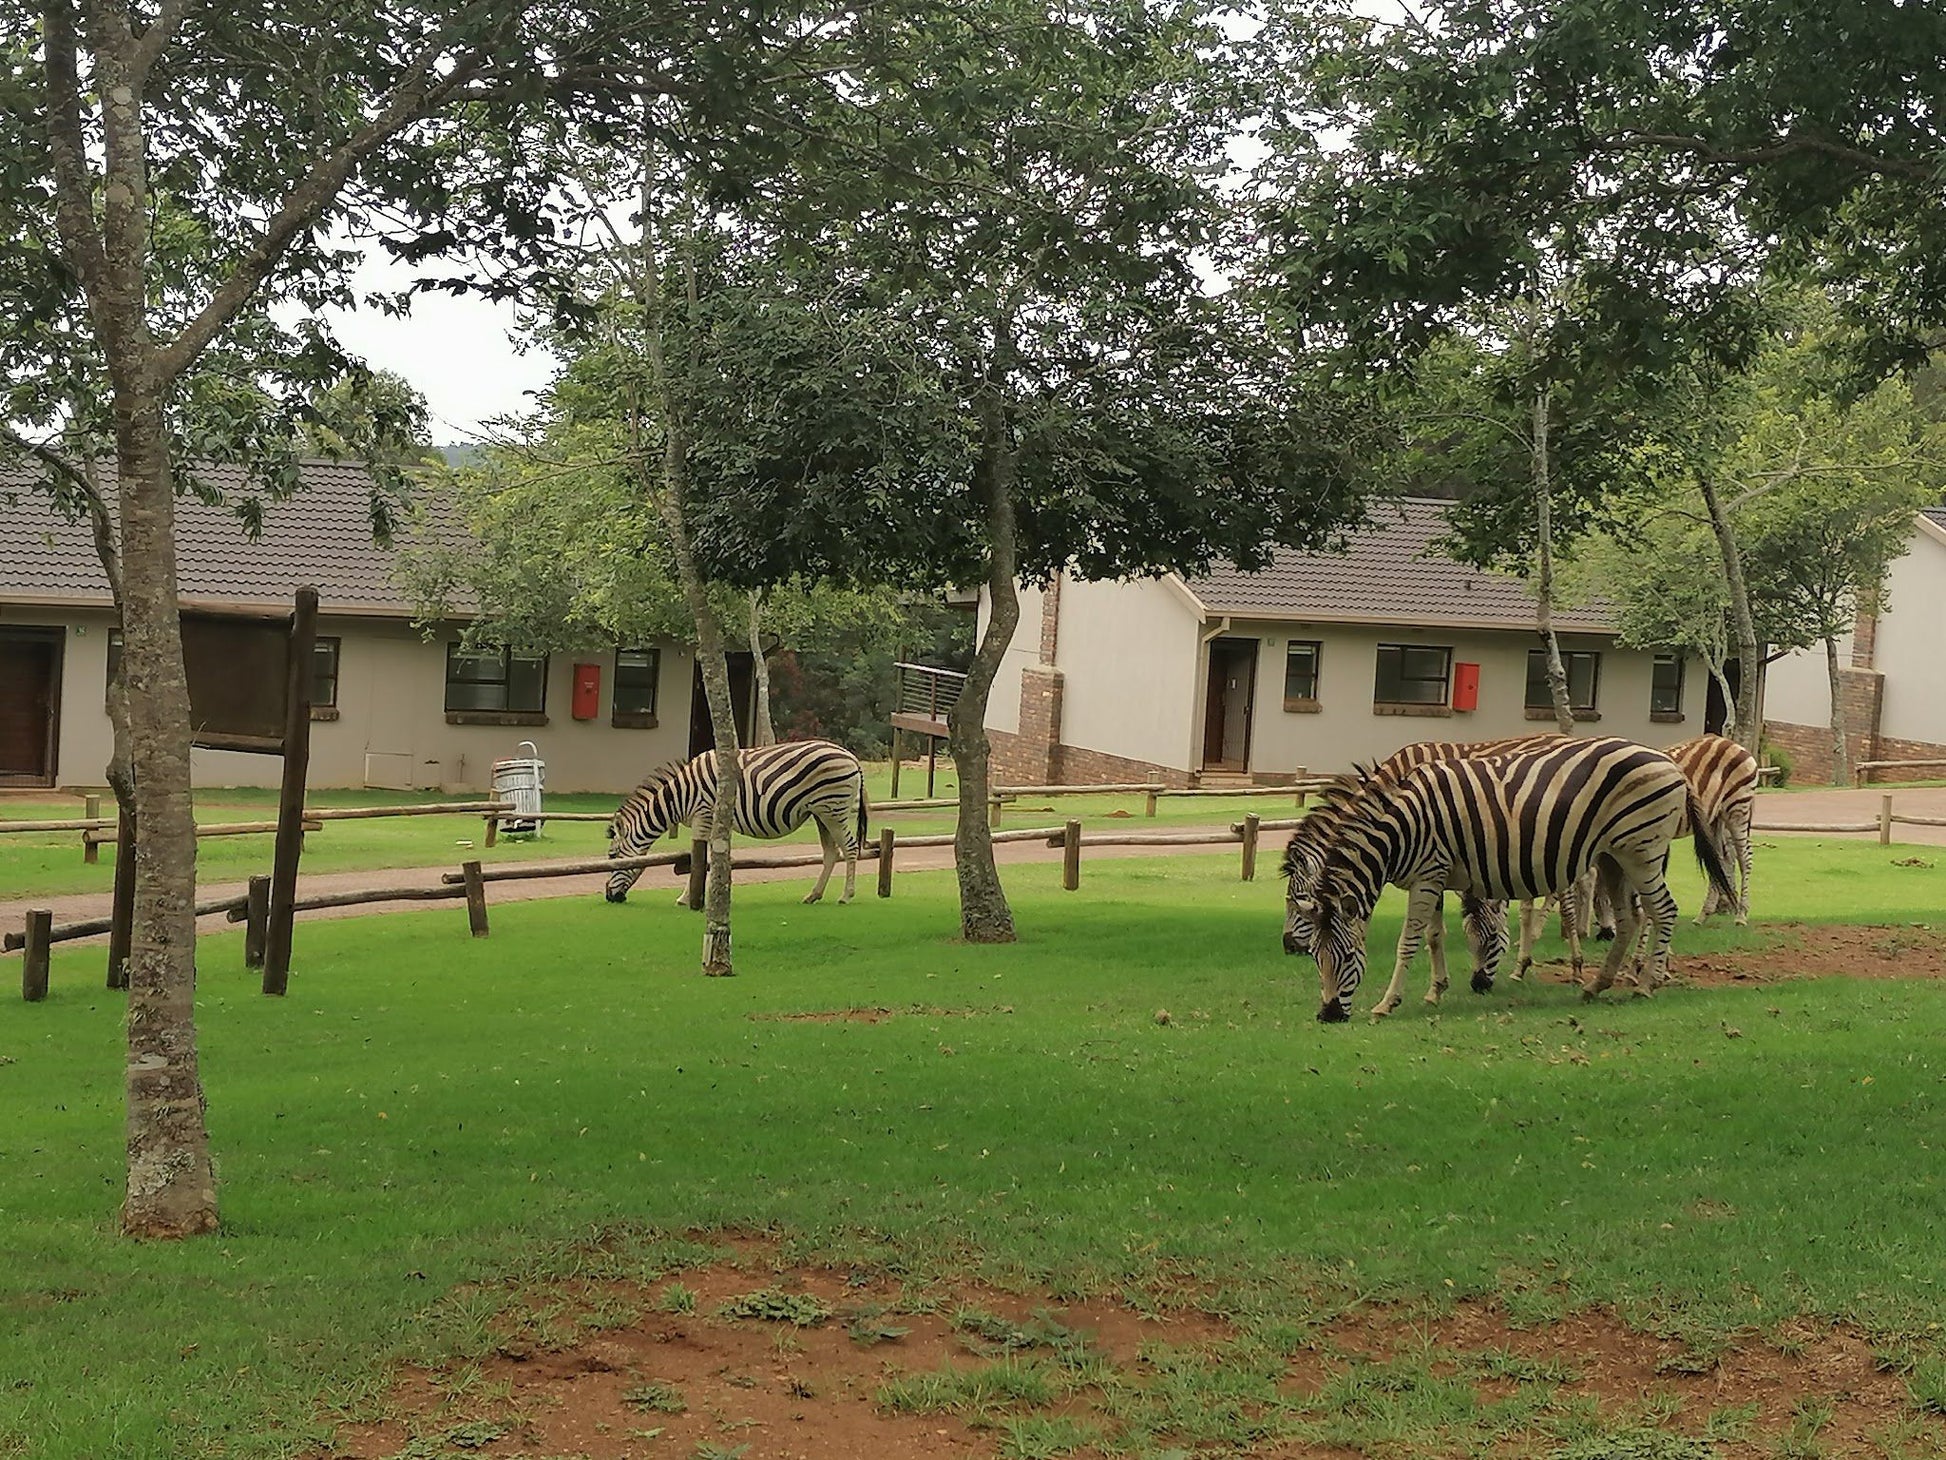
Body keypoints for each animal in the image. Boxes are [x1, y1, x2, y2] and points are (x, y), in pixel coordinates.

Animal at [603, 743, 871, 903]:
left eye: (612, 857)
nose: (609, 896)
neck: (680, 796)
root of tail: (852, 758)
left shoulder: (703, 815)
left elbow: (699, 858)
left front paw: (687, 898)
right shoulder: (713, 822)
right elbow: (709, 858)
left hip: (833, 809)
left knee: (849, 848)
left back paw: (846, 895)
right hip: (821, 813)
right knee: (831, 852)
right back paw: (813, 895)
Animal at [1292, 735, 1735, 1020]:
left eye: (1347, 957)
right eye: (1315, 957)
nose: (1327, 1015)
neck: (1402, 826)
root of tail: (1669, 760)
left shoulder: (1428, 874)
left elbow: (1409, 942)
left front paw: (1387, 1003)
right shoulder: (1431, 875)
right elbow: (1434, 937)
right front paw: (1436, 991)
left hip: (1641, 849)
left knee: (1664, 910)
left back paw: (1648, 983)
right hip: (1614, 856)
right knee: (1631, 918)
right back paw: (1598, 984)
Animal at [1665, 735, 1759, 930]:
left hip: (1738, 809)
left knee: (1745, 858)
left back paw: (1741, 915)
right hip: (1715, 817)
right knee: (1720, 859)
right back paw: (1704, 914)